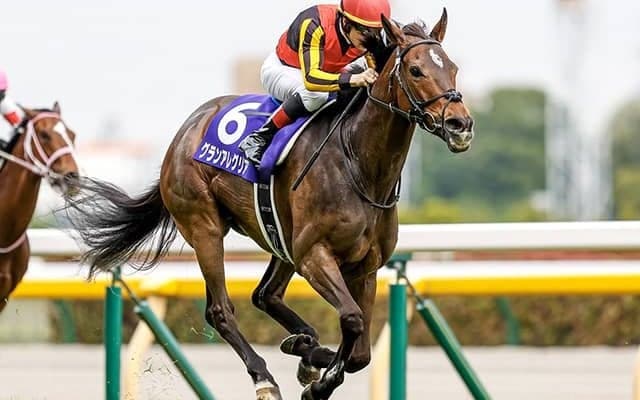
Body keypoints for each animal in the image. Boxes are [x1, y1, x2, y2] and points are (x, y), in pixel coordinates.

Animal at [65, 10, 473, 400]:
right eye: (416, 69)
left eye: (453, 67)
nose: (460, 125)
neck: (358, 164)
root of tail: (183, 134)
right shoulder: (314, 255)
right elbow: (353, 320)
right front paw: (320, 382)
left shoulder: (365, 266)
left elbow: (361, 352)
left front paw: (316, 364)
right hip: (205, 227)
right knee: (221, 310)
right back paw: (265, 377)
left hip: (280, 238)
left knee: (265, 296)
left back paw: (305, 346)